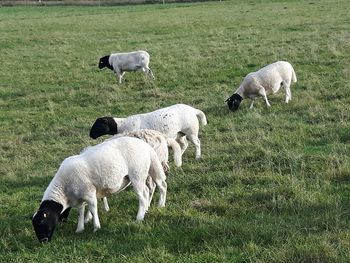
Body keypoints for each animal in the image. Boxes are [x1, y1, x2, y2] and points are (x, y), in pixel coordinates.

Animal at [31, 137, 167, 244]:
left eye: (43, 222)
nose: (43, 241)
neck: (64, 188)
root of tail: (145, 146)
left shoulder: (89, 193)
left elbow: (93, 208)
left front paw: (96, 227)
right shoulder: (81, 196)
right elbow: (81, 211)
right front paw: (80, 228)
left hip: (137, 174)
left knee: (144, 195)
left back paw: (140, 217)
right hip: (147, 170)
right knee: (157, 187)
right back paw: (153, 207)